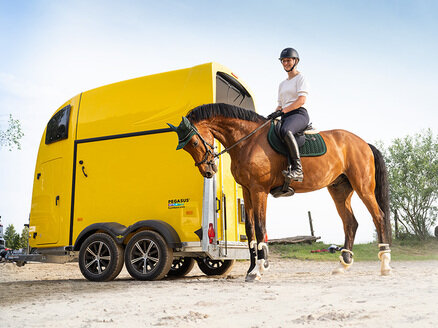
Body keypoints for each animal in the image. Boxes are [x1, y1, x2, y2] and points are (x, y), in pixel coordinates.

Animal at [169, 104, 394, 280]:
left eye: (194, 142)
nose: (208, 171)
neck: (247, 140)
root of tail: (363, 143)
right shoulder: (248, 191)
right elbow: (250, 230)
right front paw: (252, 268)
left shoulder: (259, 191)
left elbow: (260, 227)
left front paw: (259, 269)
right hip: (339, 189)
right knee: (350, 223)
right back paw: (342, 265)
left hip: (363, 187)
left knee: (379, 217)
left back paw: (385, 265)